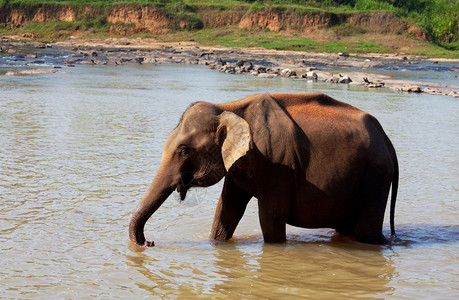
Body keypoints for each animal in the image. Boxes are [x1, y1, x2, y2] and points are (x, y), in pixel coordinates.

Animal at [129, 93, 398, 246]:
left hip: (375, 178)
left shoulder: (277, 164)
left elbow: (270, 216)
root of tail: (387, 141)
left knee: (366, 233)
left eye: (184, 151)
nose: (149, 243)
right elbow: (227, 211)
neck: (229, 107)